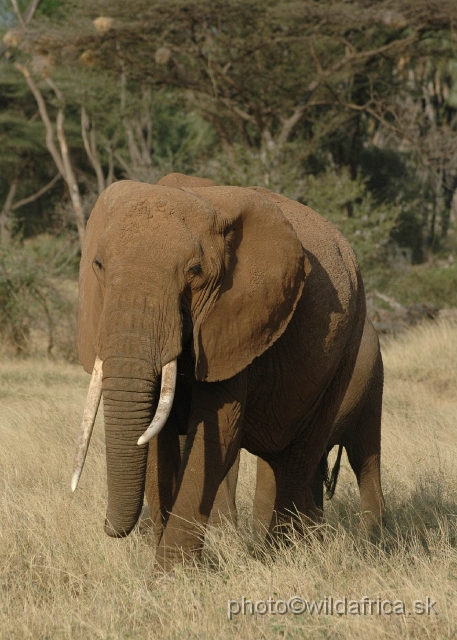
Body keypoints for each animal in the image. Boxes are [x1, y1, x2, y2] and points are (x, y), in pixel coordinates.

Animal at [71, 172, 370, 568]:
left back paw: (280, 554)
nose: (108, 527)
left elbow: (214, 439)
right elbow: (157, 440)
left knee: (298, 457)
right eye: (99, 265)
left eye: (194, 272)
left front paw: (171, 574)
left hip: (347, 347)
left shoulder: (236, 323)